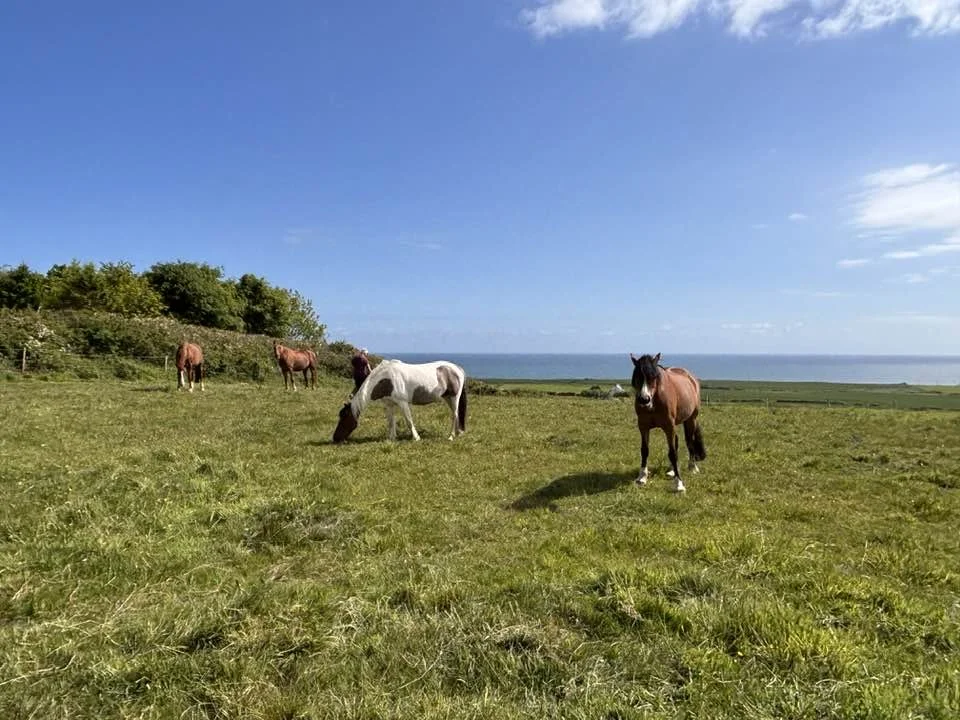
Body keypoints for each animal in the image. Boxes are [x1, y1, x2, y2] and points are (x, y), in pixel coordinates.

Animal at [333, 359, 467, 442]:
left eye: (344, 418)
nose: (335, 438)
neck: (386, 379)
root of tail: (457, 368)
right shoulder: (389, 404)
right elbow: (391, 421)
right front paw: (391, 438)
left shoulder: (403, 403)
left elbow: (409, 421)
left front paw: (416, 438)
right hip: (447, 397)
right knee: (455, 415)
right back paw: (457, 433)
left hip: (454, 397)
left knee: (454, 415)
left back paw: (451, 436)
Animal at [630, 352, 706, 493]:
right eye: (637, 376)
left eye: (654, 377)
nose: (644, 399)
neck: (655, 400)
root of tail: (691, 378)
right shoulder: (643, 426)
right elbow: (645, 450)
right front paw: (642, 477)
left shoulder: (669, 426)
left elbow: (672, 453)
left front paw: (679, 483)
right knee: (675, 442)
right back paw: (672, 470)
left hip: (691, 420)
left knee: (689, 442)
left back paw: (692, 467)